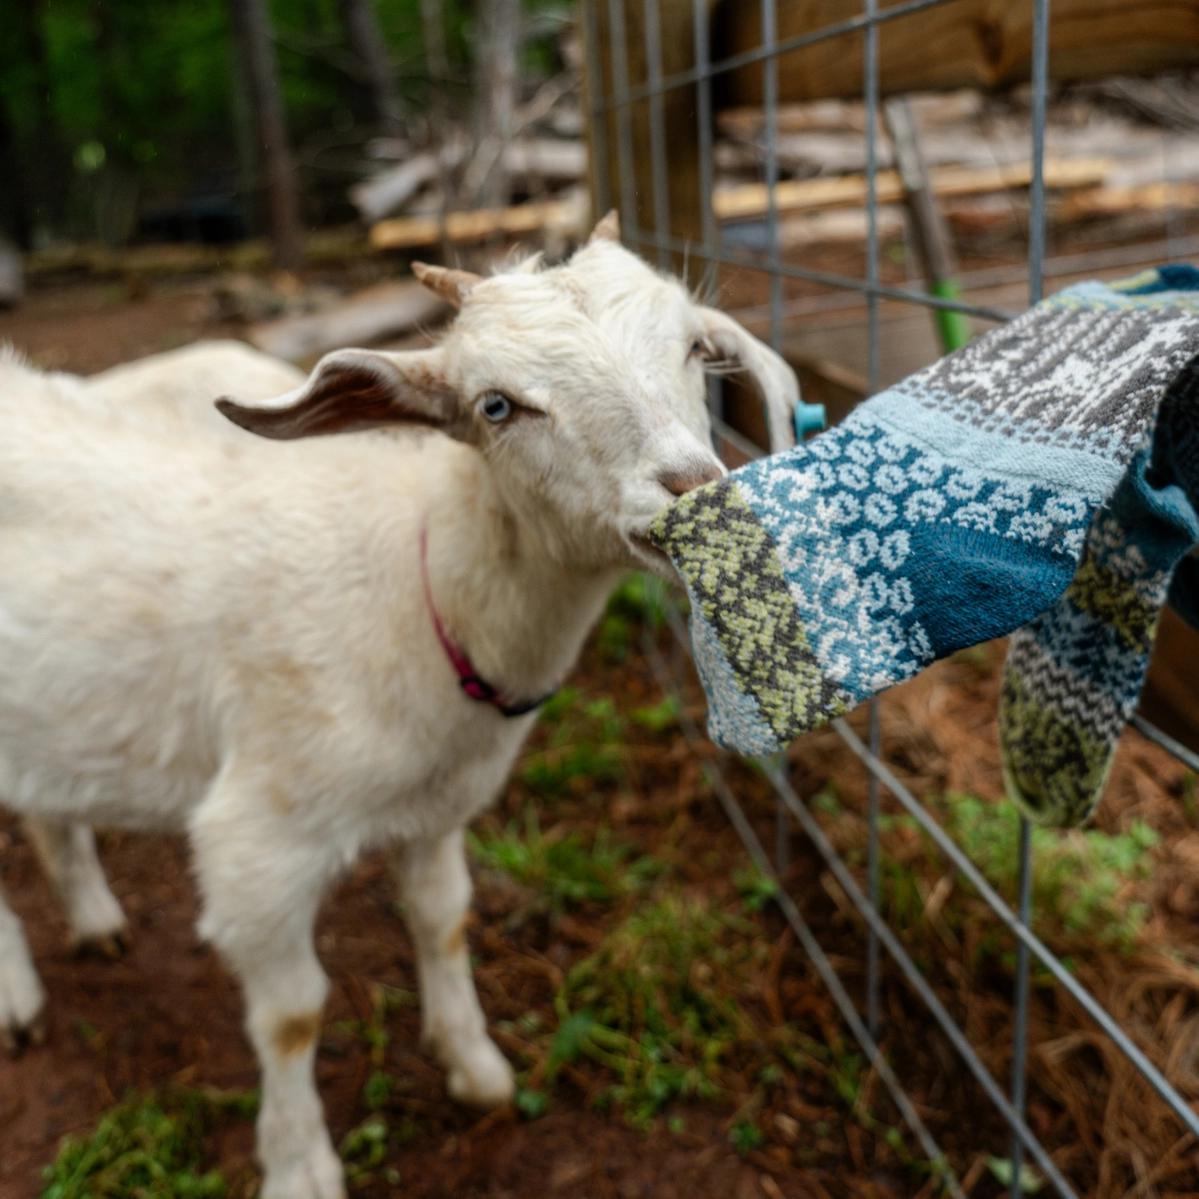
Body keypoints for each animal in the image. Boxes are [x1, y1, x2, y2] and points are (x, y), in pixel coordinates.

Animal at [0, 216, 799, 1199]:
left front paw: (474, 1065)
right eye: (496, 406)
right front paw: (299, 1163)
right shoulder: (256, 844)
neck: (419, 586)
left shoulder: (439, 808)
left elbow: (443, 918)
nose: (696, 497)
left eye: (693, 348)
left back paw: (92, 918)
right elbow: (293, 1016)